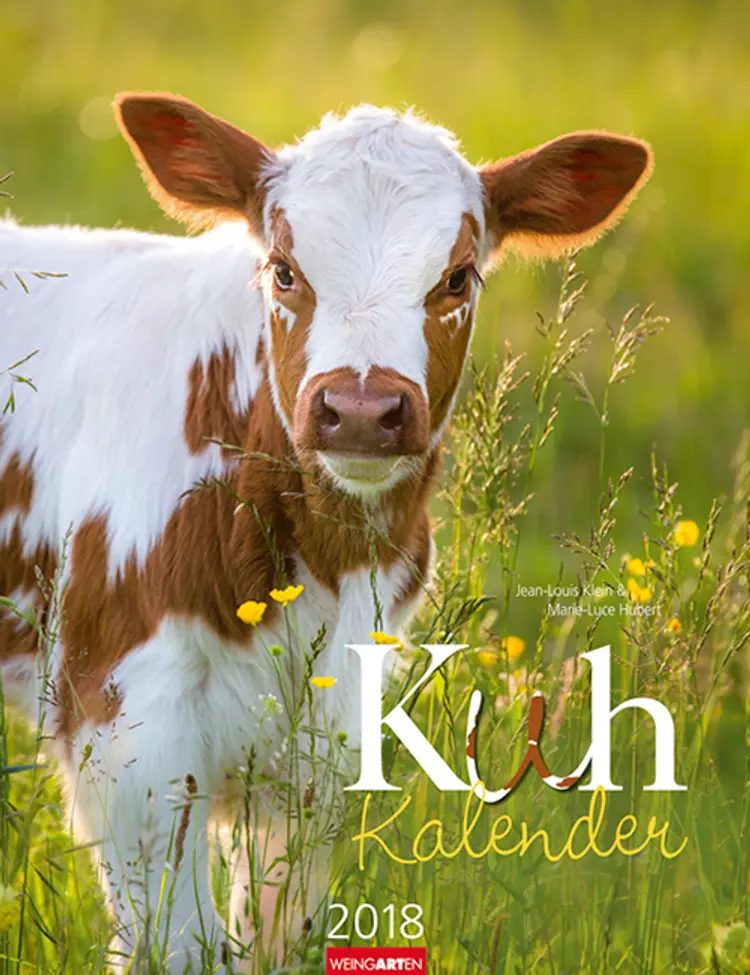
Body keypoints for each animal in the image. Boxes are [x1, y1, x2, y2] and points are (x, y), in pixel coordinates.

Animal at [0, 93, 652, 970]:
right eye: (285, 269)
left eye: (457, 276)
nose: (363, 410)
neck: (317, 566)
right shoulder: (128, 731)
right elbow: (183, 944)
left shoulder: (325, 747)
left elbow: (278, 932)